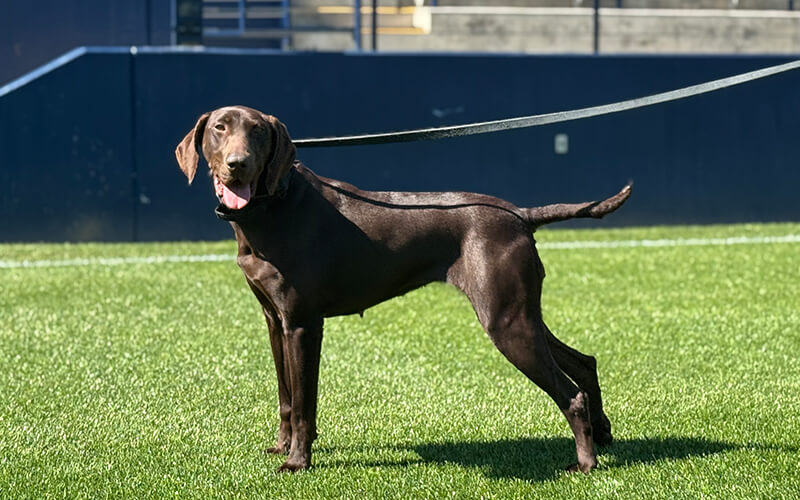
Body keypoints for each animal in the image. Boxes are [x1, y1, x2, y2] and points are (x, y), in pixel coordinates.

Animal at [177, 104, 632, 472]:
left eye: (258, 131)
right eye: (219, 128)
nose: (239, 164)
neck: (274, 204)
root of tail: (520, 214)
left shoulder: (303, 324)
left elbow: (305, 402)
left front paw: (297, 462)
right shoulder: (275, 321)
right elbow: (287, 398)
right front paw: (281, 447)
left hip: (507, 321)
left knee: (570, 394)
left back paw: (585, 463)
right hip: (520, 312)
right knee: (583, 362)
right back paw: (602, 434)